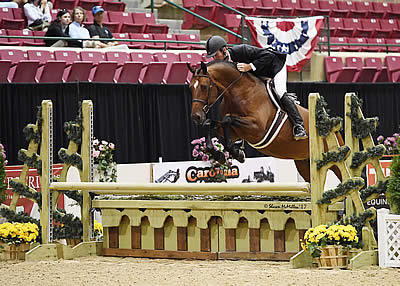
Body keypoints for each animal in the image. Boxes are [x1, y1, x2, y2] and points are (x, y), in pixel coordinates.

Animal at [187, 59, 340, 183]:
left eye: (204, 87)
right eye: (190, 88)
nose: (196, 117)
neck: (239, 92)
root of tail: (331, 126)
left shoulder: (257, 129)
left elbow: (227, 119)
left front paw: (236, 153)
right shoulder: (234, 132)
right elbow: (212, 123)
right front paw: (218, 154)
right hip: (304, 163)